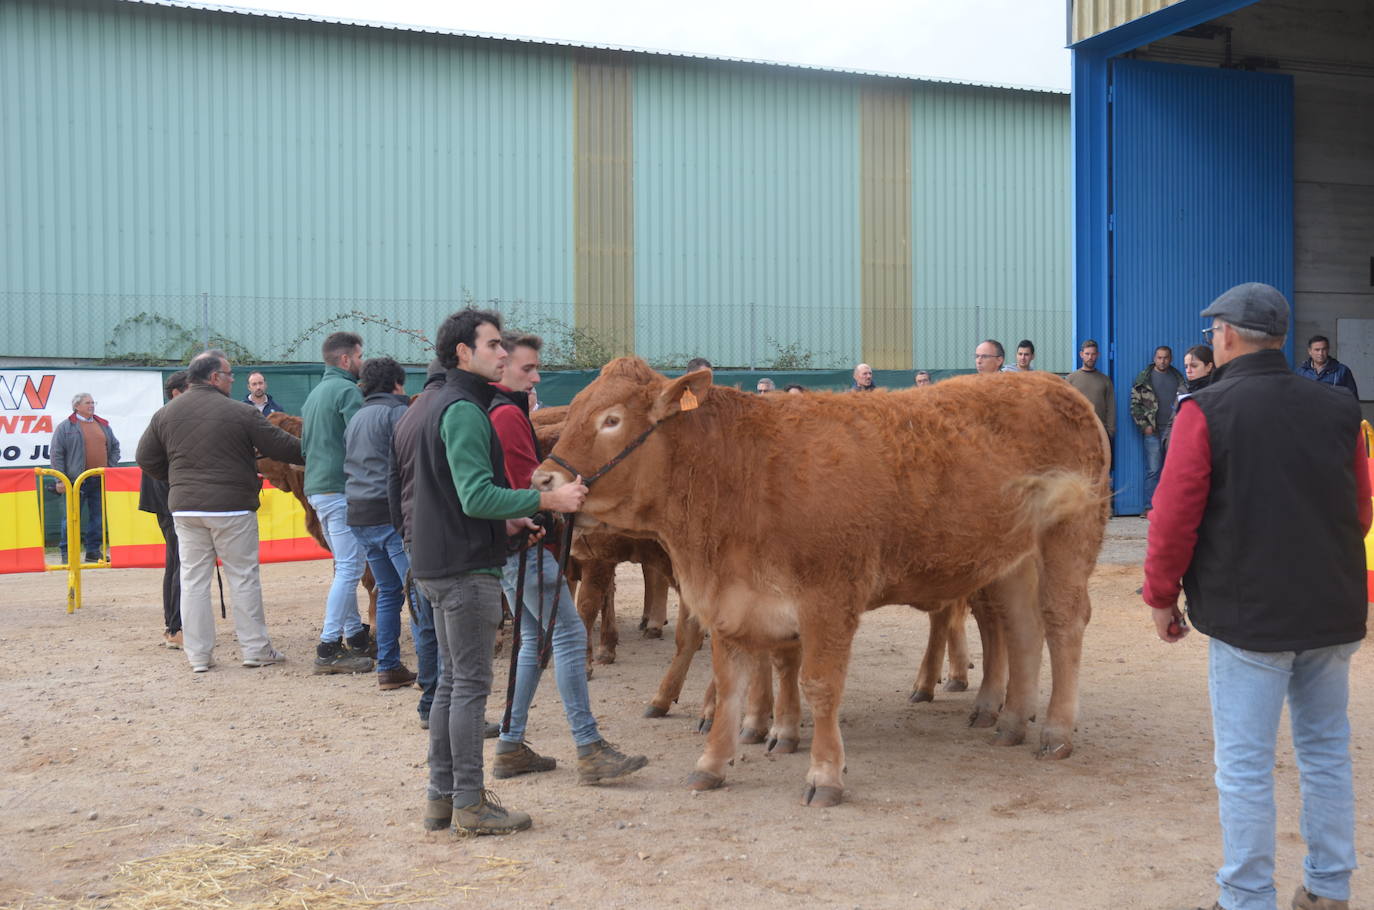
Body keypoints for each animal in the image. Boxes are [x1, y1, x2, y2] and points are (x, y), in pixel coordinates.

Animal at [535, 360, 1104, 808]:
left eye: (611, 420)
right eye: (574, 410)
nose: (543, 481)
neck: (740, 473)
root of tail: (1054, 385)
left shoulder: (828, 598)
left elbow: (820, 684)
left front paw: (825, 773)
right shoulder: (732, 599)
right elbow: (733, 681)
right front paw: (712, 763)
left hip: (1068, 535)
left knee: (1063, 623)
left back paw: (1055, 730)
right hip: (1010, 560)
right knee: (1021, 630)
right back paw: (1010, 721)